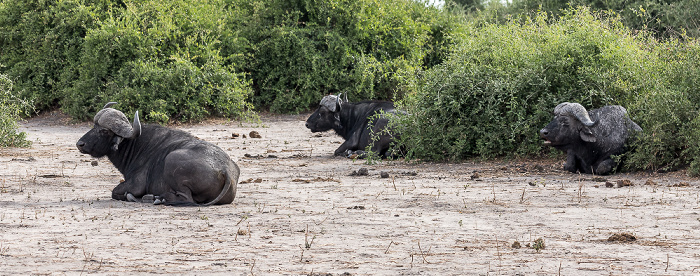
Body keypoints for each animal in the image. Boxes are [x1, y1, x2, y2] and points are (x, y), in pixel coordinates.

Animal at [76, 102, 239, 206]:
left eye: (104, 131)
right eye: (94, 126)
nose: (80, 144)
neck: (135, 145)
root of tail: (225, 169)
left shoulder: (136, 185)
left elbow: (115, 192)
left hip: (172, 159)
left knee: (187, 198)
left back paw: (157, 198)